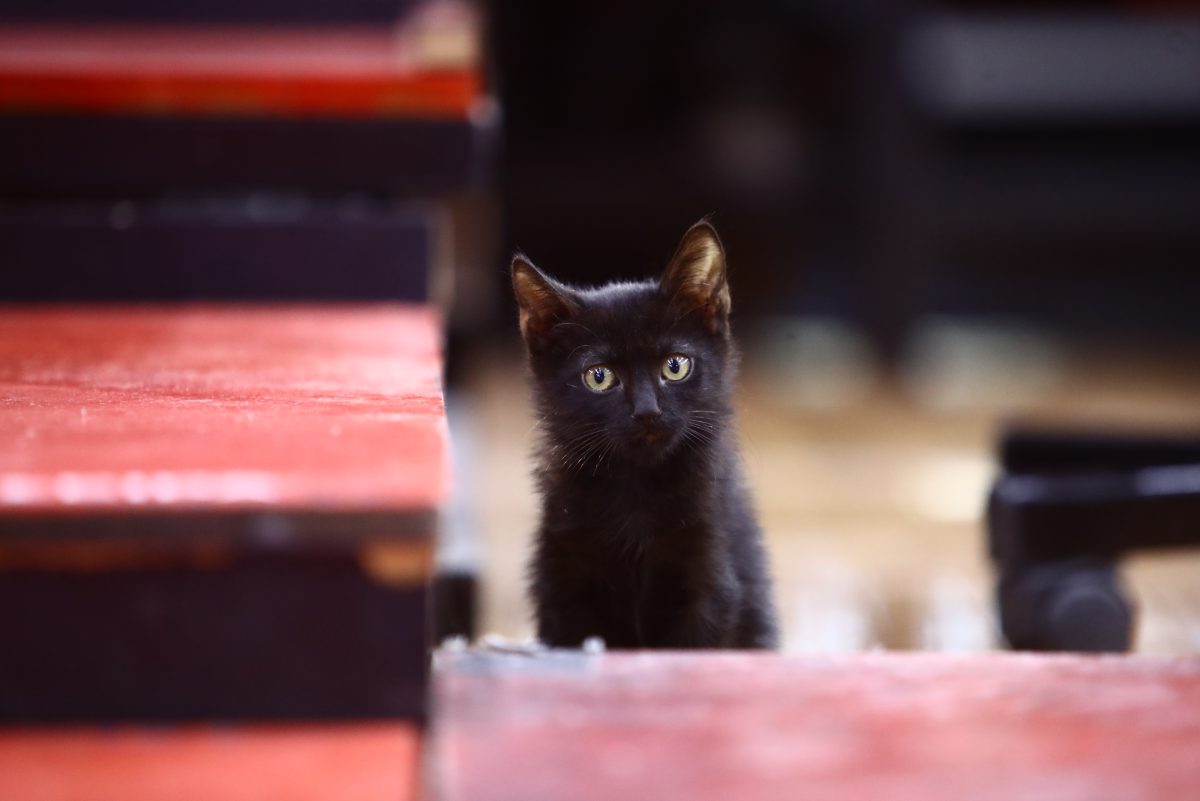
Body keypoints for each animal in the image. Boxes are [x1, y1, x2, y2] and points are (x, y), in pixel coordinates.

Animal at [513, 221, 777, 647]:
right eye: (599, 376)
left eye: (675, 366)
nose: (647, 411)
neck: (636, 488)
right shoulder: (562, 581)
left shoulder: (711, 574)